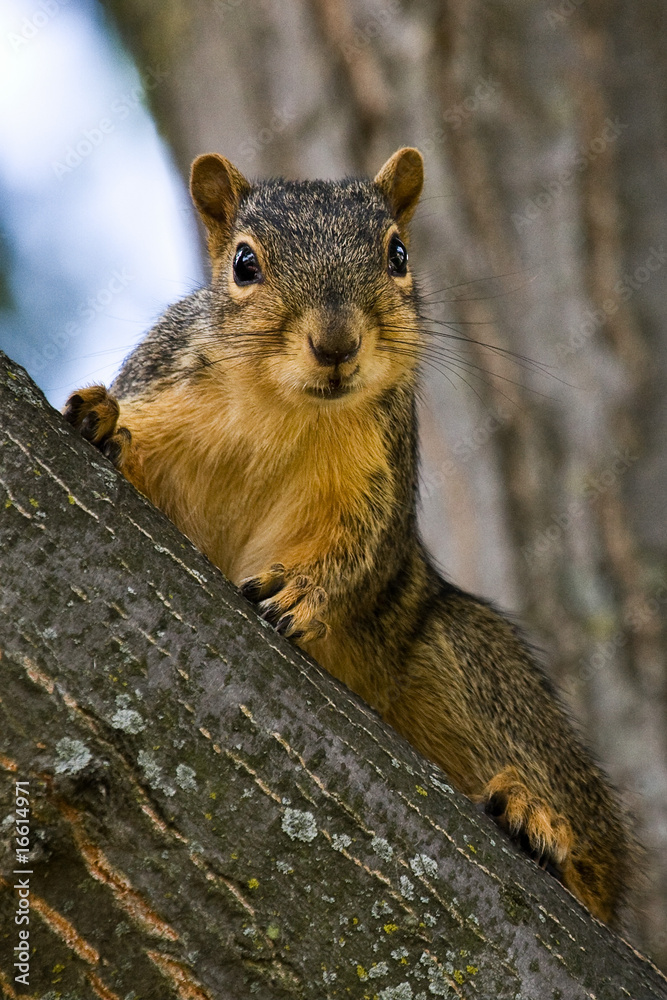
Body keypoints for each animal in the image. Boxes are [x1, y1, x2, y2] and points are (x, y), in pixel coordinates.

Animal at [64, 147, 634, 924]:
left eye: (397, 254)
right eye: (243, 263)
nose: (335, 344)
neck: (281, 410)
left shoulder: (373, 477)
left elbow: (355, 554)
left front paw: (302, 592)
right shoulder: (169, 389)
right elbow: (138, 447)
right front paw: (102, 419)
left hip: (464, 651)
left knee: (592, 856)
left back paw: (537, 817)